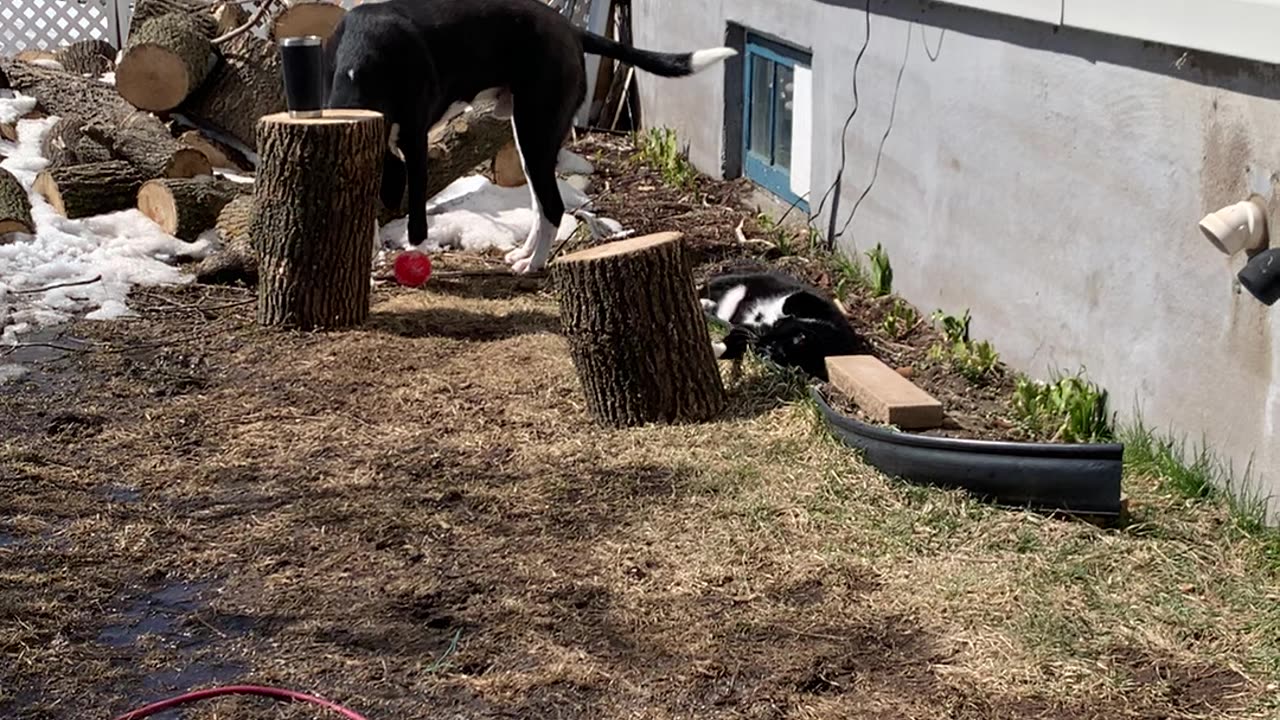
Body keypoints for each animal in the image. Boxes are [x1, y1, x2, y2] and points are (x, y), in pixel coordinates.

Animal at [325, 0, 737, 272]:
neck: (361, 61)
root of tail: (569, 28)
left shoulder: (415, 143)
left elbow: (414, 221)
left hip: (534, 129)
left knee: (551, 205)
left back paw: (533, 264)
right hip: (531, 139)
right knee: (542, 205)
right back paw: (525, 253)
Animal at [696, 270, 865, 381]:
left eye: (770, 349)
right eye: (777, 326)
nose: (760, 340)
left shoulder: (749, 333)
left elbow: (733, 344)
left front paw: (713, 349)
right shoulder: (826, 308)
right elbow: (798, 298)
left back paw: (707, 306)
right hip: (735, 281)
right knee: (704, 289)